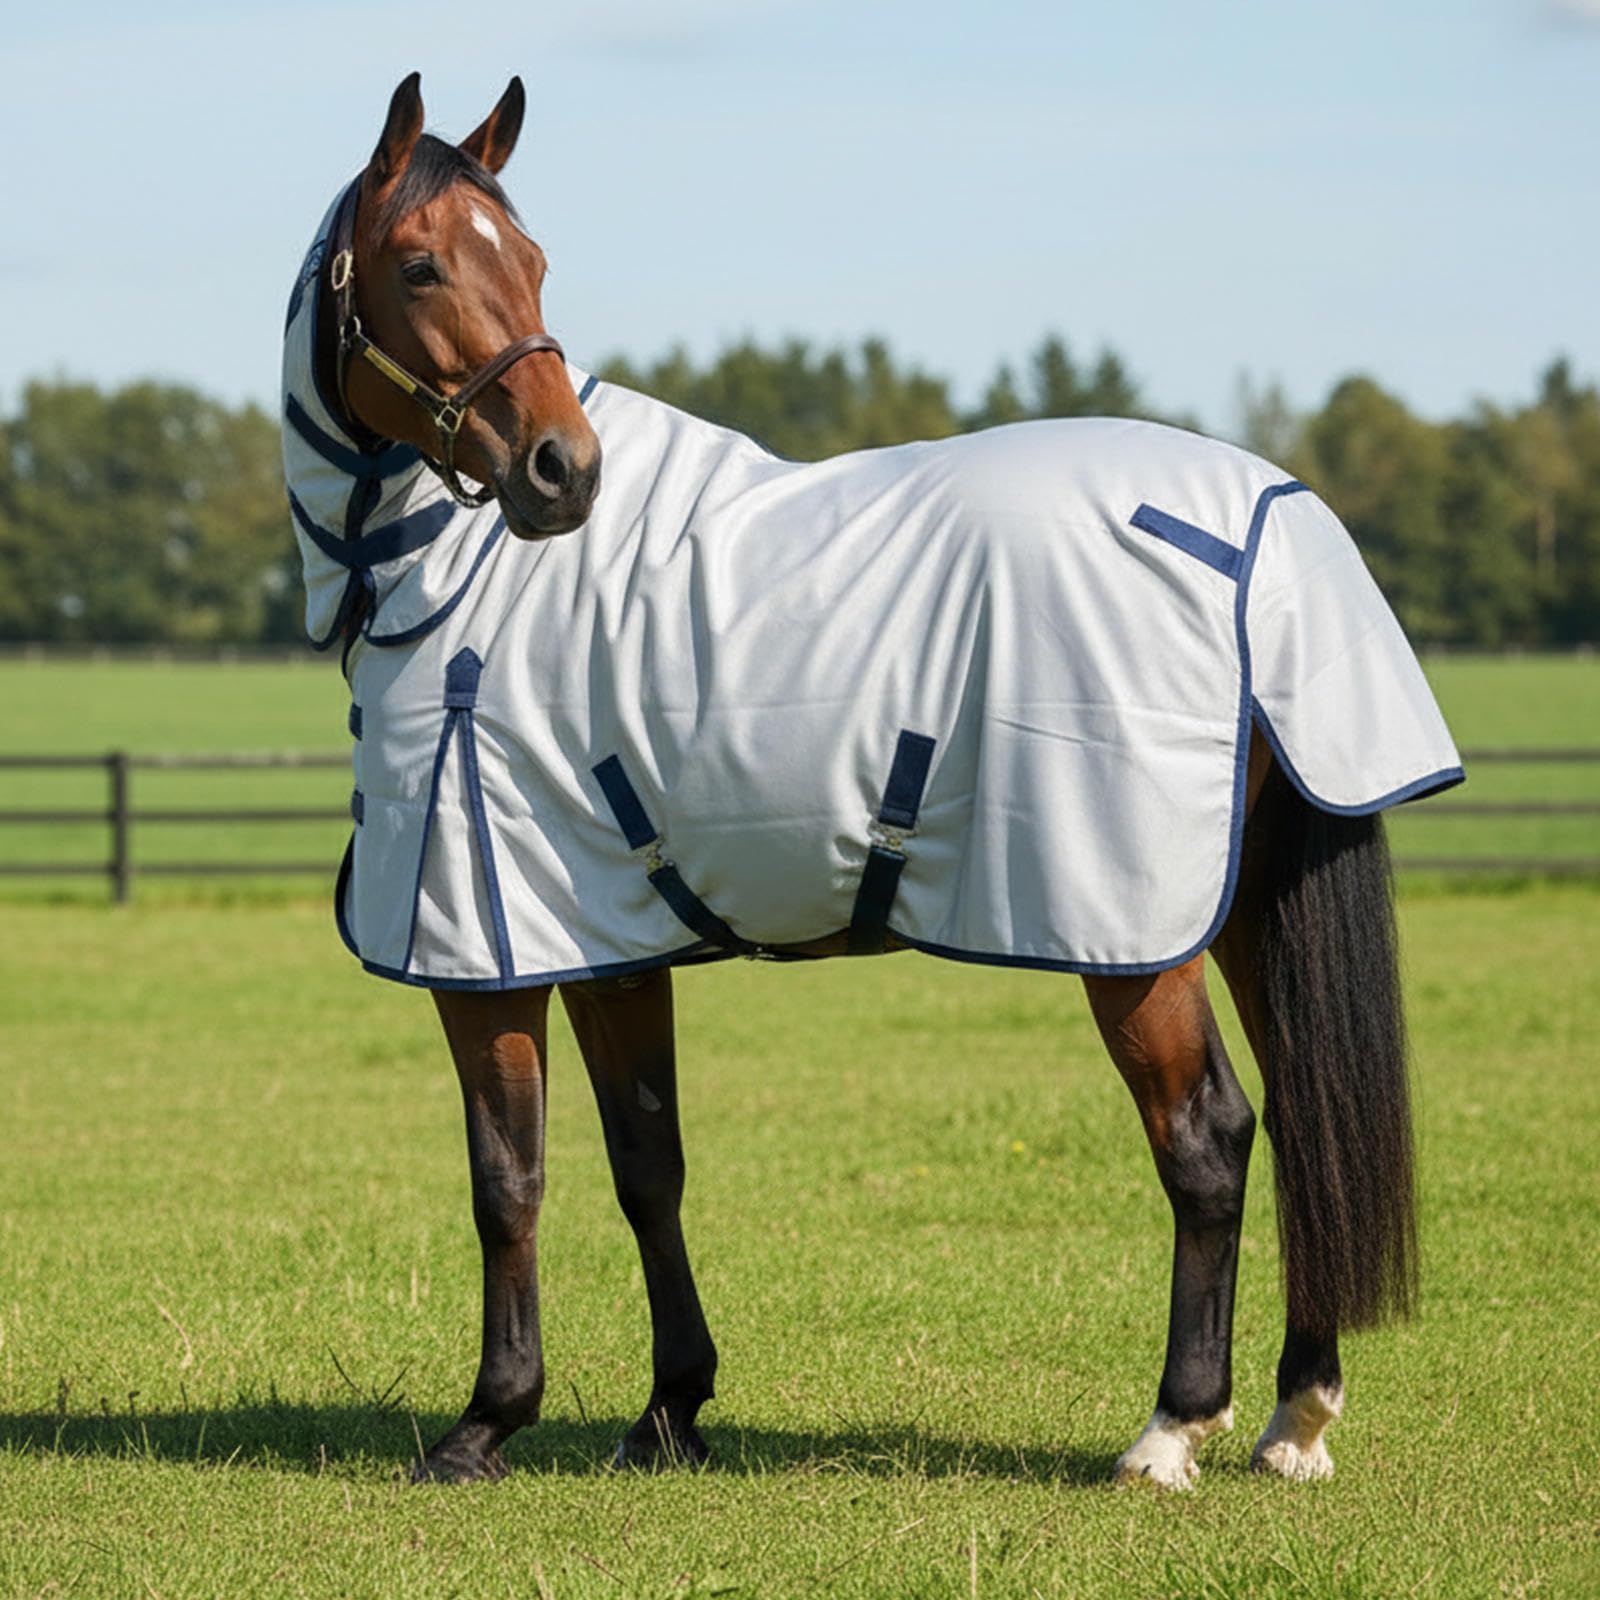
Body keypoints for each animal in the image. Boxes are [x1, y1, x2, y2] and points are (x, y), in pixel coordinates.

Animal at [283, 72, 1463, 1487]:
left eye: (532, 261)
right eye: (421, 264)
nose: (564, 472)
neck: (452, 575)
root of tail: (1260, 530)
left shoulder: (486, 950)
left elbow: (506, 1178)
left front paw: (485, 1420)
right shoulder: (608, 936)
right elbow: (646, 1164)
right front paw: (670, 1407)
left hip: (1135, 941)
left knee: (1211, 1136)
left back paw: (1173, 1427)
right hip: (1236, 905)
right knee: (1304, 1124)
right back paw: (1296, 1415)